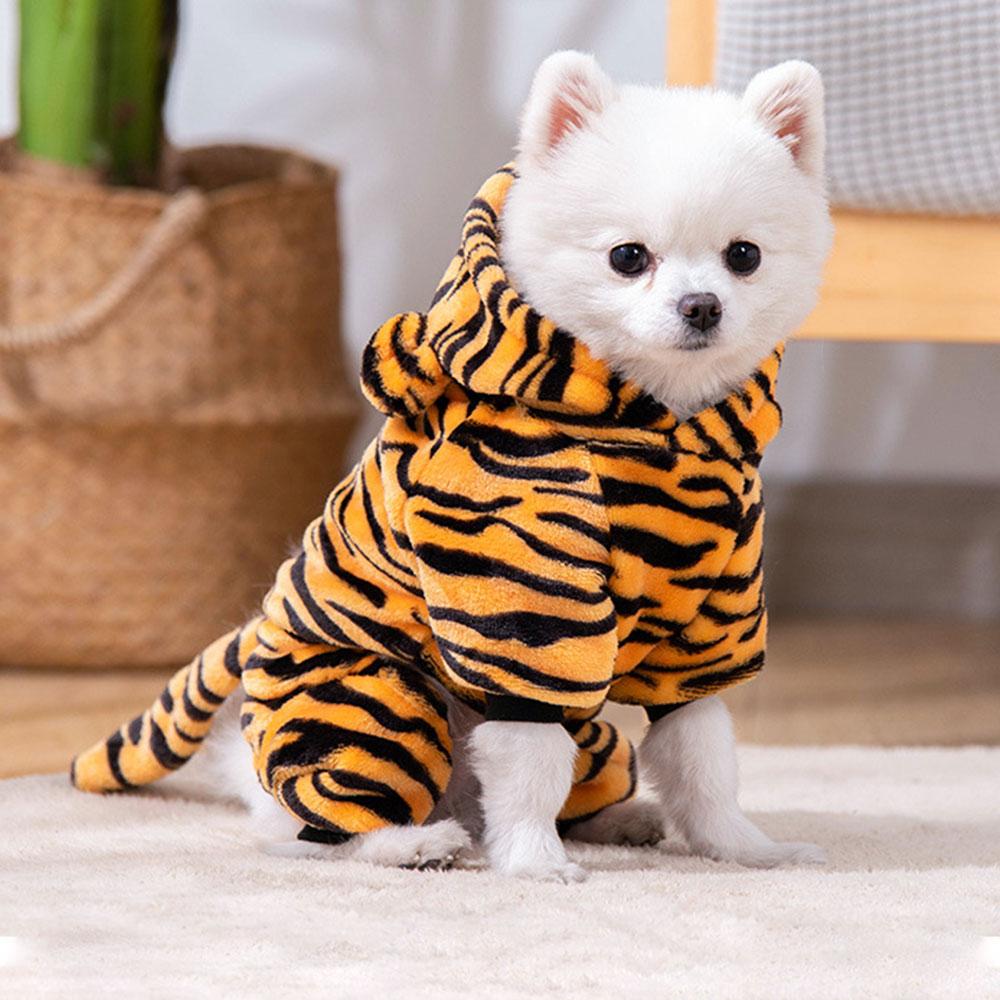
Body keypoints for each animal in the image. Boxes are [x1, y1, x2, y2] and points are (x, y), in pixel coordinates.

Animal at [72, 163, 782, 855]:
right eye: (628, 257)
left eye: (744, 255)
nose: (702, 305)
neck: (659, 433)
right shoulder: (519, 608)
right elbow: (532, 741)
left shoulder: (707, 625)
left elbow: (700, 752)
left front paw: (740, 848)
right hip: (378, 706)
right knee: (322, 830)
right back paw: (413, 844)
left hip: (595, 745)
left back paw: (615, 822)